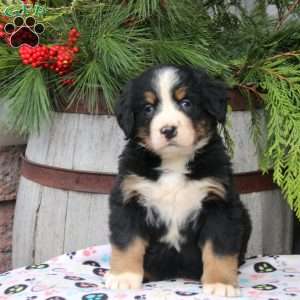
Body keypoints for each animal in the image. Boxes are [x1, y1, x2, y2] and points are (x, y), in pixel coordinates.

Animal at [105, 64, 251, 296]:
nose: (168, 130)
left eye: (186, 103)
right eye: (148, 108)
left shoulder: (220, 203)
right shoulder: (129, 198)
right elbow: (127, 241)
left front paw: (220, 284)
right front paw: (123, 277)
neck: (174, 163)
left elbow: (219, 248)